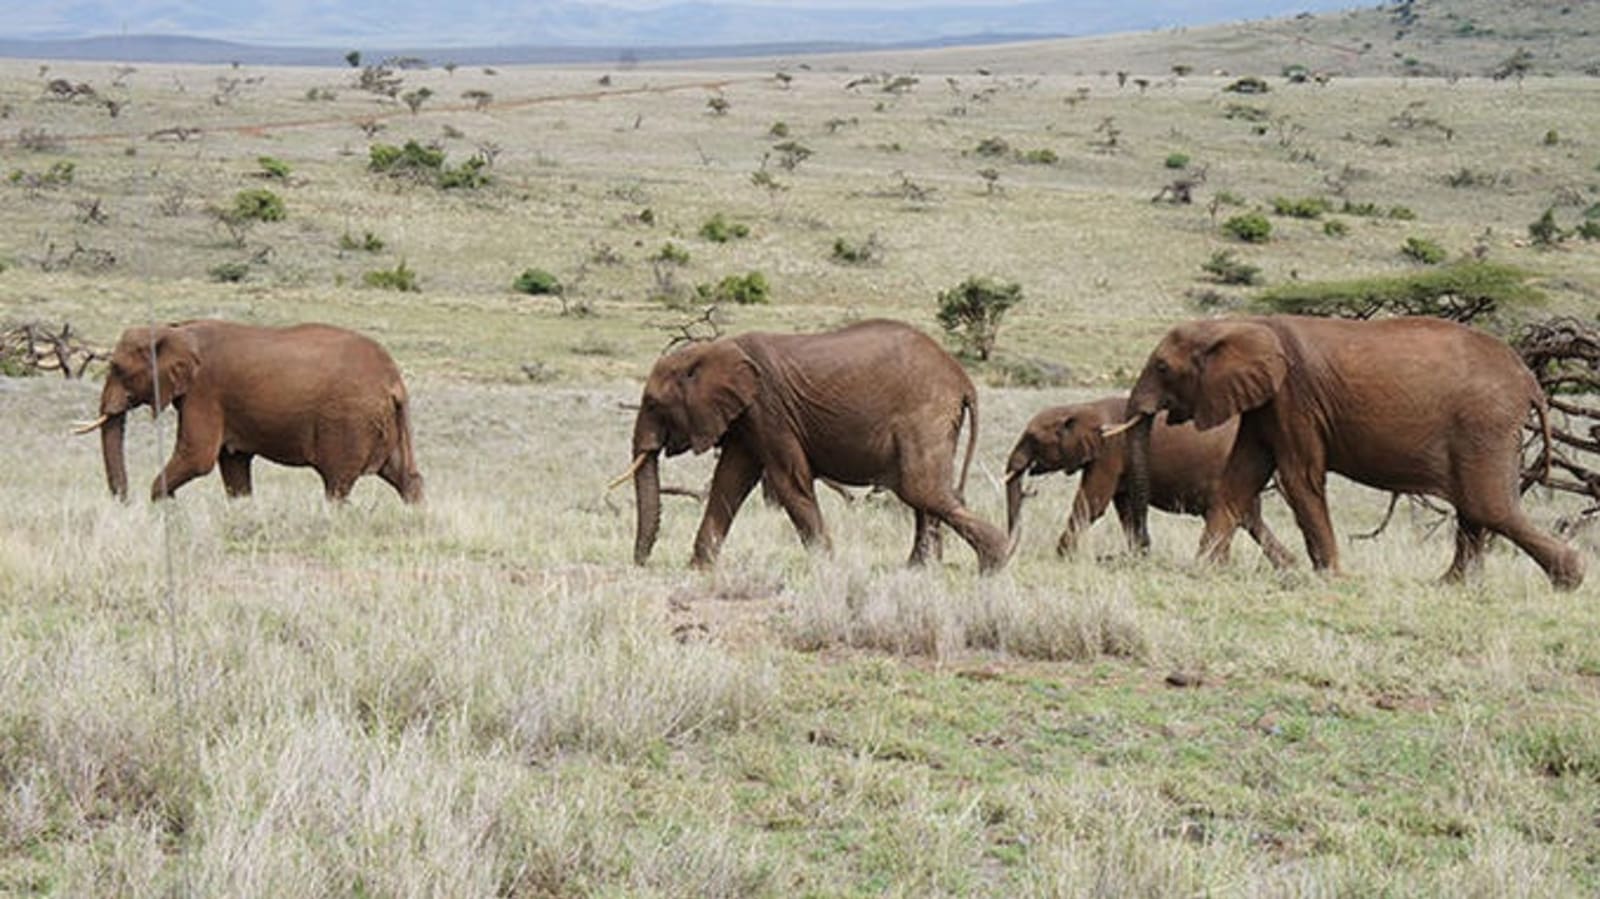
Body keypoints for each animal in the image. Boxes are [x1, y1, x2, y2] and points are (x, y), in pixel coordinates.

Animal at [75, 320, 423, 504]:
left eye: (118, 368)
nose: (123, 501)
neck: (174, 329)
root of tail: (393, 379)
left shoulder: (204, 392)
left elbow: (197, 456)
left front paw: (162, 503)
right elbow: (233, 464)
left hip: (349, 421)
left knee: (336, 485)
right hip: (381, 420)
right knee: (404, 476)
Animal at [613, 319, 1010, 572]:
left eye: (653, 405)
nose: (641, 563)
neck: (710, 351)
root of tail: (963, 380)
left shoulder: (769, 408)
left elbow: (790, 481)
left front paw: (826, 567)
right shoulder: (747, 418)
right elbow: (730, 481)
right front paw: (698, 569)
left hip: (924, 414)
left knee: (921, 489)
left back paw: (996, 561)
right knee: (926, 496)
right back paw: (918, 570)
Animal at [1004, 396, 1295, 567]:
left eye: (1032, 439)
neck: (1082, 407)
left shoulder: (1109, 451)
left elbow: (1092, 503)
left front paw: (1061, 557)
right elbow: (1124, 507)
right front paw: (1136, 556)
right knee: (1249, 519)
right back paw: (1288, 566)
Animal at [1108, 314, 1582, 589]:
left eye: (1163, 368)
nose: (1140, 550)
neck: (1238, 323)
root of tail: (1529, 379)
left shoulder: (1294, 396)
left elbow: (1299, 478)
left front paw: (1333, 576)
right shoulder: (1266, 403)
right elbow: (1239, 479)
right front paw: (1207, 567)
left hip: (1484, 424)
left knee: (1488, 506)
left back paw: (1570, 579)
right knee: (1475, 509)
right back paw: (1449, 586)